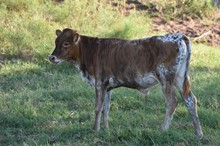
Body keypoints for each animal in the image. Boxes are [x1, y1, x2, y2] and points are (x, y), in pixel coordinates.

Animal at [49, 28, 204, 138]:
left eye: (66, 43)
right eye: (56, 42)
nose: (51, 57)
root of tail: (178, 36)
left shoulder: (100, 83)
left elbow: (97, 108)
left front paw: (95, 129)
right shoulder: (107, 87)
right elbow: (106, 108)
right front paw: (105, 129)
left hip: (165, 77)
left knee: (172, 101)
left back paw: (163, 129)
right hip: (181, 77)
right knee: (190, 100)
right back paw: (199, 133)